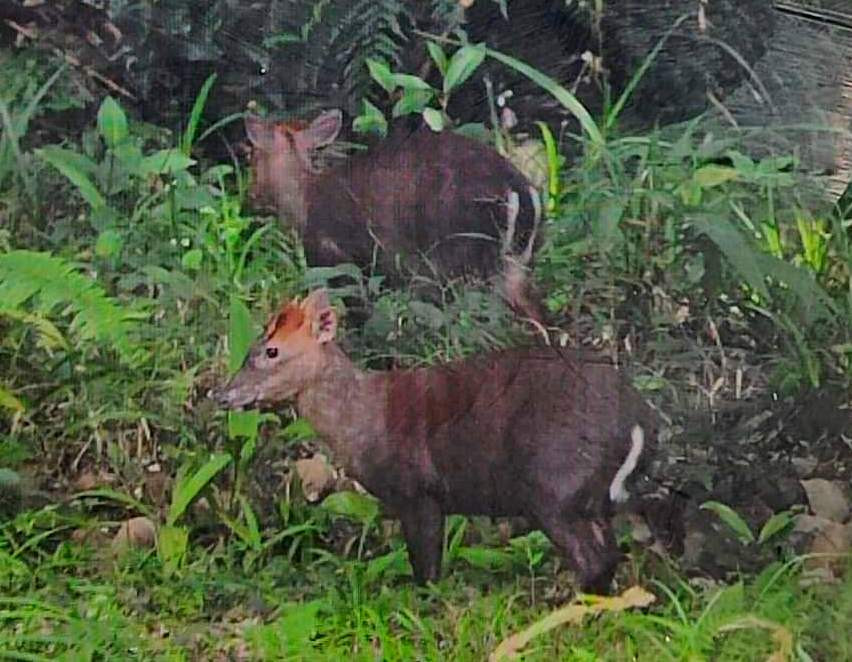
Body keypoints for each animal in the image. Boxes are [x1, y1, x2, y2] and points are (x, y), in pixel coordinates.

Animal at [213, 292, 660, 596]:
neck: (363, 420)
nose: (223, 394)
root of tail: (635, 420)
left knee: (594, 559)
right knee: (609, 555)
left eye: (272, 350)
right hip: (590, 497)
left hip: (552, 486)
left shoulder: (418, 491)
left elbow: (426, 569)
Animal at [243, 111, 544, 322]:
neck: (304, 199)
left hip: (457, 260)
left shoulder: (337, 257)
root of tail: (520, 190)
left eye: (252, 157)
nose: (249, 197)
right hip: (515, 265)